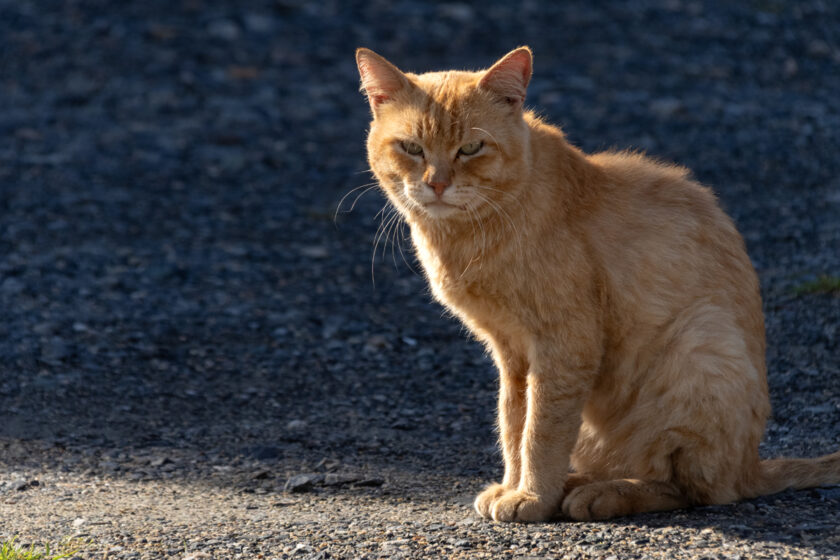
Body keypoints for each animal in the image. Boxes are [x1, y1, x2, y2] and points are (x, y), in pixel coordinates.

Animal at [354, 46, 840, 524]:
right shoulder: (512, 354)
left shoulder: (564, 345)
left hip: (701, 345)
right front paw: (516, 487)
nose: (437, 184)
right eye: (412, 148)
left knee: (696, 489)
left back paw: (603, 494)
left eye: (471, 148)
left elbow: (541, 431)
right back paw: (576, 485)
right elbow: (513, 424)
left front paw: (531, 497)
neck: (469, 236)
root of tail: (751, 464)